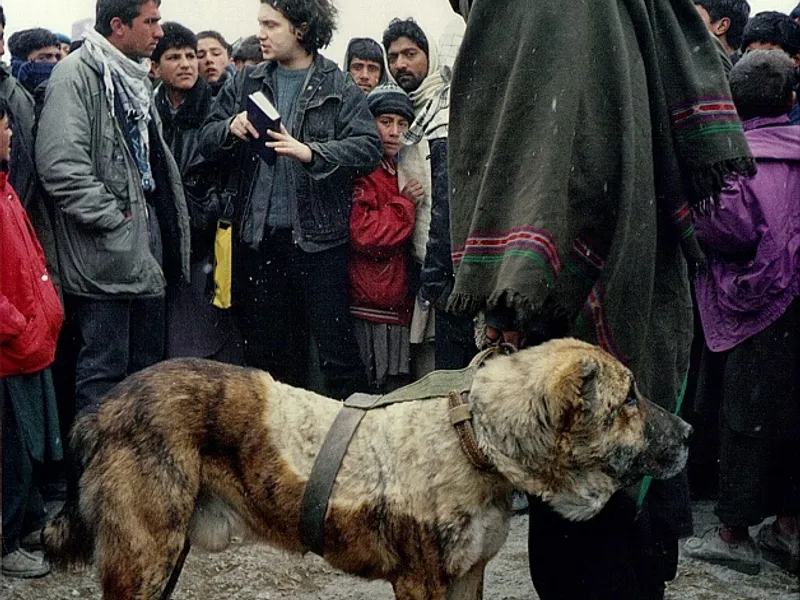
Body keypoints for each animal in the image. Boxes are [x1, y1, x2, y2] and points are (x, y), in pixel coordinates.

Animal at [45, 340, 692, 596]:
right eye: (630, 398)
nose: (689, 433)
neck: (473, 441)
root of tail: (101, 410)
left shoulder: (468, 577)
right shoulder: (423, 583)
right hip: (145, 562)